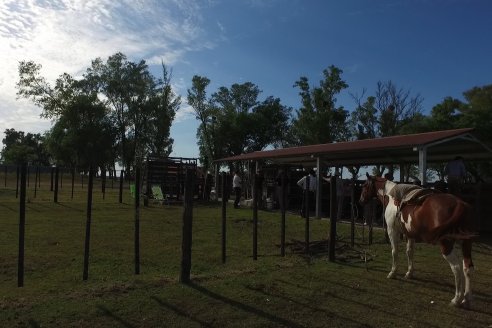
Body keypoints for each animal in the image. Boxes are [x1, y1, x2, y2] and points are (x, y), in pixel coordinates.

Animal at [358, 173, 476, 308]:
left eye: (365, 186)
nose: (360, 201)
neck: (392, 196)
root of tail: (460, 205)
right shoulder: (410, 235)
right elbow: (410, 252)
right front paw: (409, 273)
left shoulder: (392, 230)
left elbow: (394, 252)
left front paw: (393, 273)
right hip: (466, 243)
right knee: (467, 267)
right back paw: (467, 298)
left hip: (446, 245)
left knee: (456, 268)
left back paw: (456, 299)